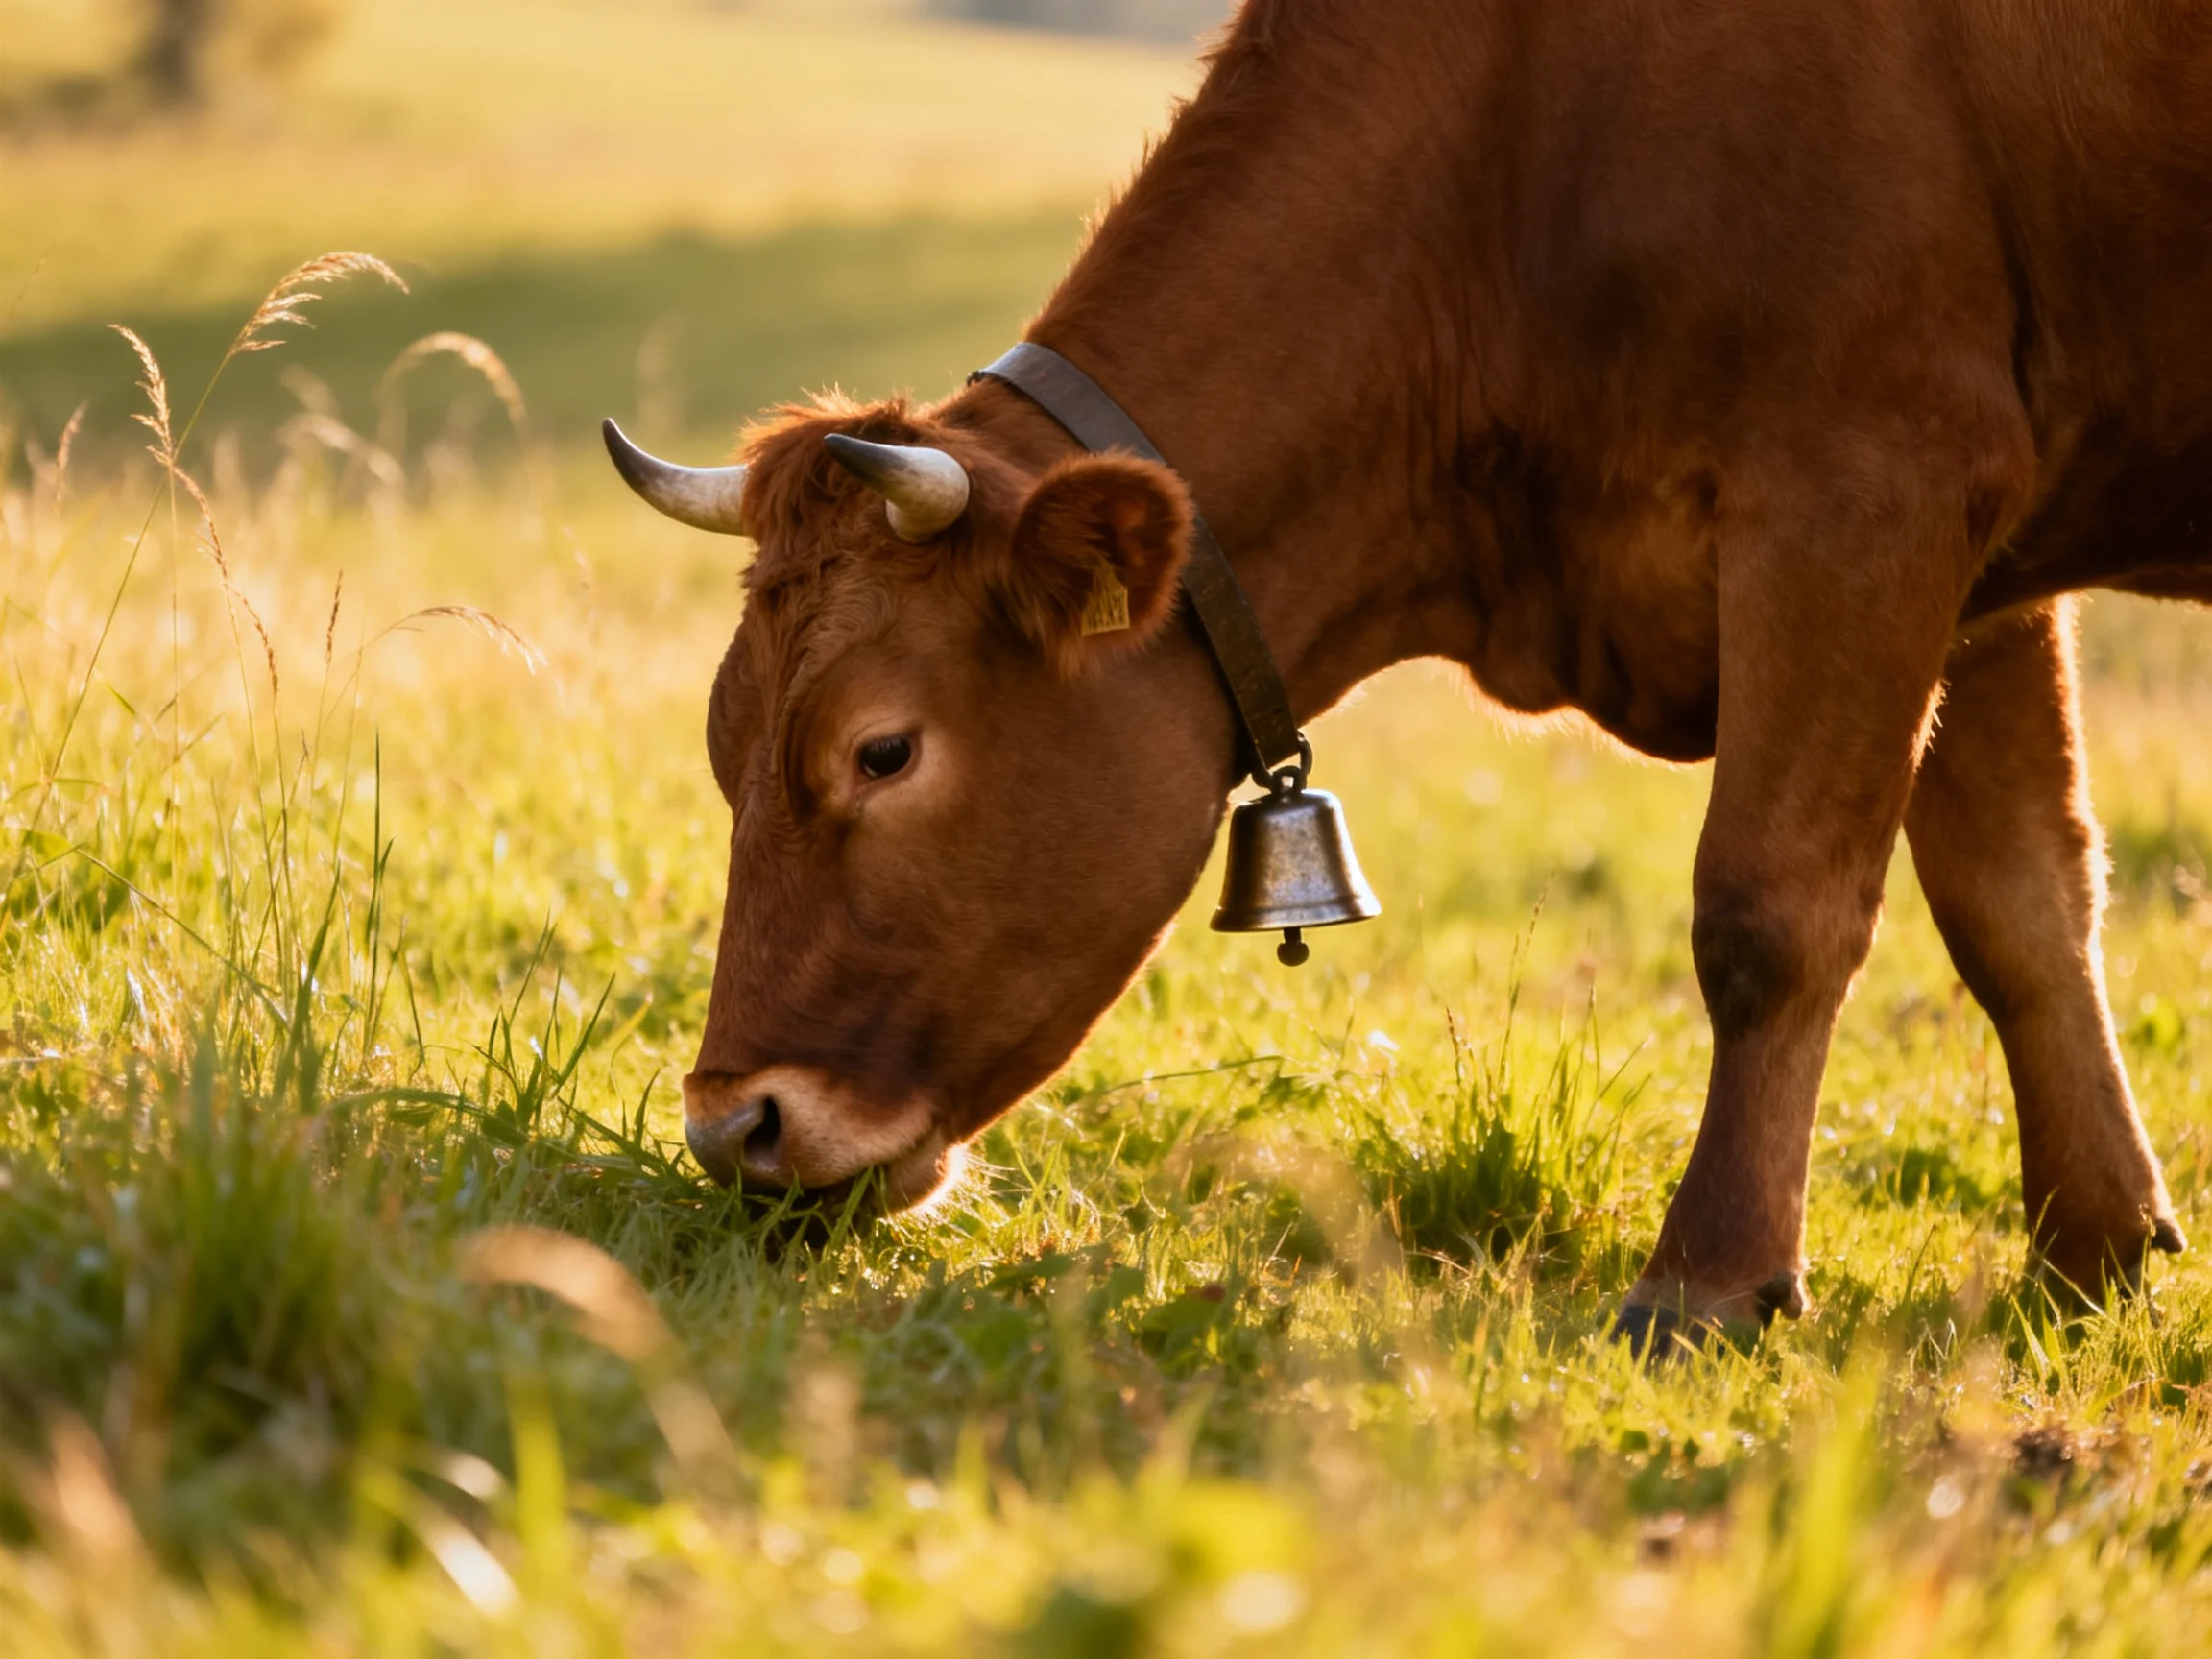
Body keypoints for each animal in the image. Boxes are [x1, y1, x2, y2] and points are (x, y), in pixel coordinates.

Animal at [604, 0, 2212, 1347]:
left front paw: (1712, 1280)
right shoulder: (1982, 559)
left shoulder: (1868, 486)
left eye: (883, 751)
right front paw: (2093, 1250)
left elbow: (1772, 913)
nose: (736, 1129)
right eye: (724, 746)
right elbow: (2024, 900)